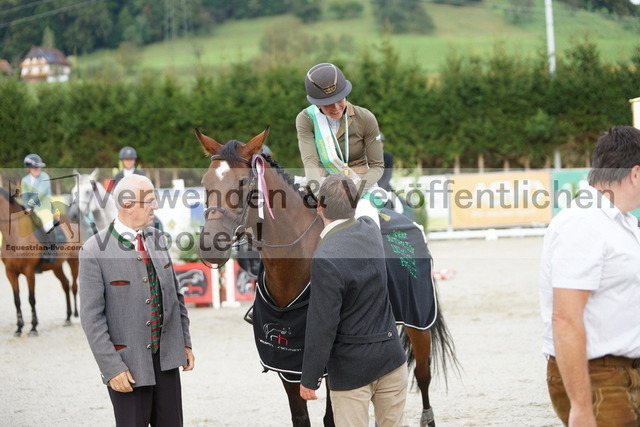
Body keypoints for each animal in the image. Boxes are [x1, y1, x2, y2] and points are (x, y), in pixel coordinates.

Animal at [0, 189, 80, 336]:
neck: (15, 236)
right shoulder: (10, 273)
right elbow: (16, 300)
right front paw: (19, 328)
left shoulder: (29, 272)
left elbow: (31, 299)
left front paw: (33, 327)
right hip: (57, 267)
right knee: (66, 285)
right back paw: (67, 318)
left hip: (74, 262)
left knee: (74, 286)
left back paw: (76, 314)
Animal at [194, 128, 456, 427]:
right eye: (205, 182)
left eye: (242, 182)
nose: (210, 246)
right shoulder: (285, 361)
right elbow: (300, 416)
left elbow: (332, 417)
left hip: (419, 320)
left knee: (423, 374)